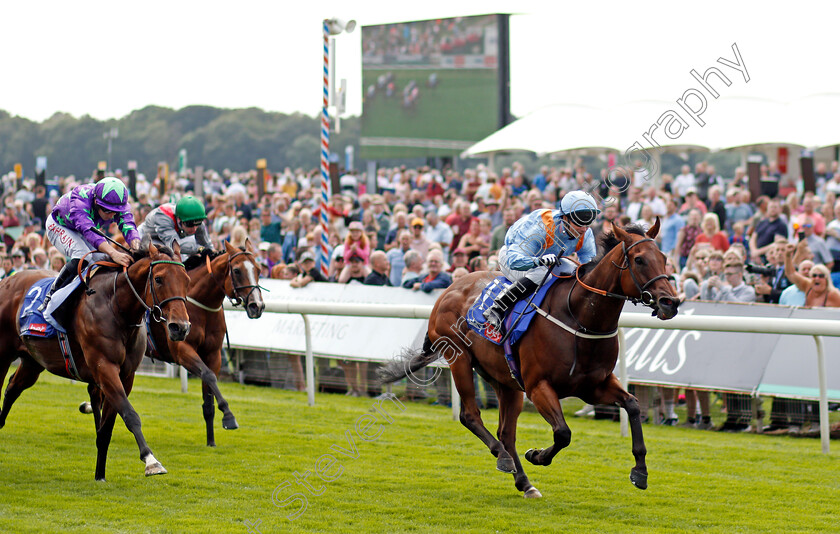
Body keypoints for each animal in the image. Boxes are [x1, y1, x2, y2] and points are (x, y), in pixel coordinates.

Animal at [0, 241, 190, 484]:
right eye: (158, 279)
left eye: (187, 280)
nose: (180, 327)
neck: (117, 308)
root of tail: (6, 280)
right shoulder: (104, 368)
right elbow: (130, 415)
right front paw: (151, 461)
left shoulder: (125, 375)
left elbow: (106, 429)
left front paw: (100, 475)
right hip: (3, 352)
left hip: (33, 361)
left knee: (13, 387)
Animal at [82, 242, 264, 448]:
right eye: (237, 270)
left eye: (258, 269)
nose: (257, 306)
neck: (202, 307)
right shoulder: (182, 350)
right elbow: (208, 375)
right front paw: (229, 416)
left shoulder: (214, 354)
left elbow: (209, 393)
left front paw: (211, 440)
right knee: (96, 392)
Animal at [378, 221, 680, 498]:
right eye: (639, 259)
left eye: (664, 258)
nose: (671, 302)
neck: (579, 317)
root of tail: (450, 288)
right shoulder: (538, 387)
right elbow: (563, 433)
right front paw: (537, 455)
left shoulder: (594, 386)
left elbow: (632, 405)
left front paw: (640, 471)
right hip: (460, 359)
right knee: (470, 416)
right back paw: (503, 457)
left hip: (505, 381)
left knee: (506, 433)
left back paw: (524, 482)